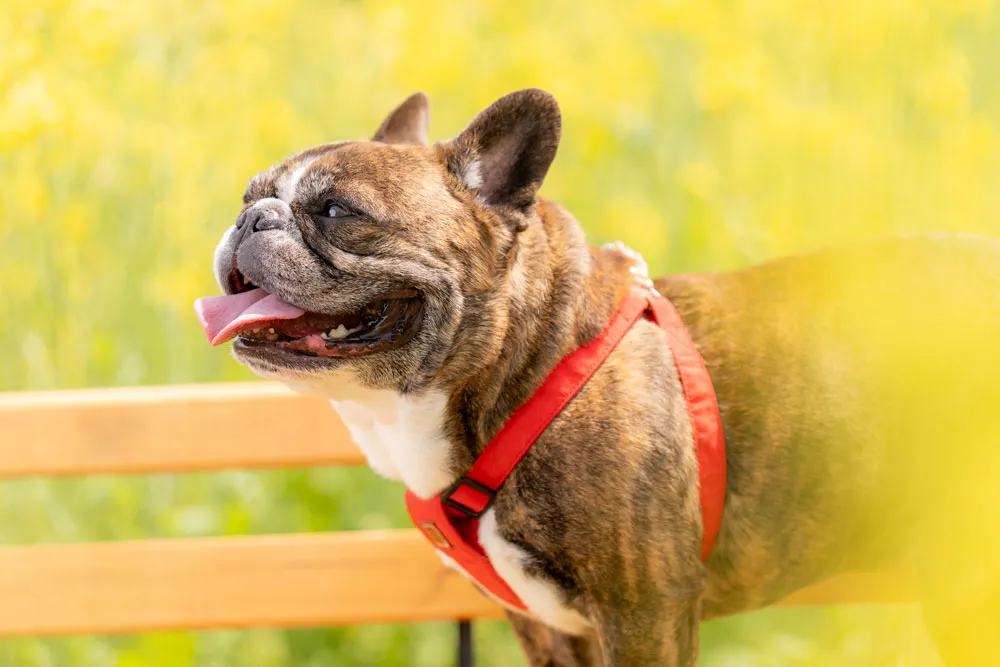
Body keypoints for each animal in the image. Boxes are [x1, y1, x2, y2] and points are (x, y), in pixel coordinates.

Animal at [197, 90, 1000, 667]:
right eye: (247, 196)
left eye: (337, 210)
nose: (250, 219)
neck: (519, 366)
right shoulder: (553, 627)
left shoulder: (644, 609)